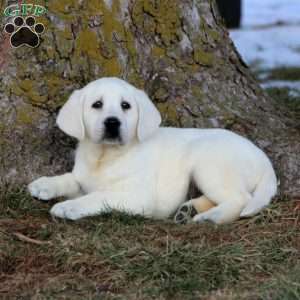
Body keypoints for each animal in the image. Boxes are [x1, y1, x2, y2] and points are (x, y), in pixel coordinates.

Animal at [27, 78, 276, 224]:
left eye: (125, 106)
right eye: (97, 104)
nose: (112, 122)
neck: (105, 156)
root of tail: (265, 161)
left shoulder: (136, 196)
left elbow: (97, 196)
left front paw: (68, 206)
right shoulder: (84, 178)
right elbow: (71, 179)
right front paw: (44, 184)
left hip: (208, 164)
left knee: (240, 198)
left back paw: (210, 218)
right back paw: (189, 211)